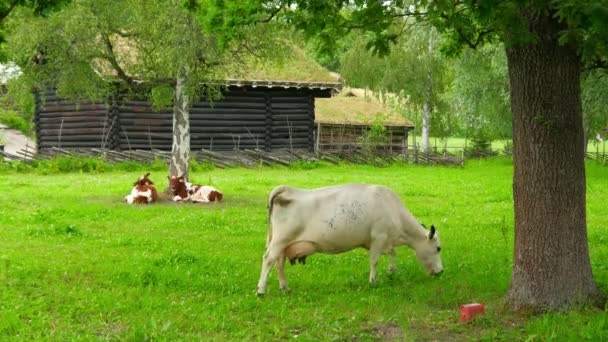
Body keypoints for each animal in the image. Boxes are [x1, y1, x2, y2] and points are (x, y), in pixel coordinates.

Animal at [254, 183, 444, 296]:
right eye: (438, 248)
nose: (441, 272)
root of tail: (287, 189)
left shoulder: (380, 241)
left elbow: (392, 253)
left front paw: (391, 271)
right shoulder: (378, 236)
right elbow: (375, 261)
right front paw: (373, 281)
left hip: (282, 244)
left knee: (279, 263)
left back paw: (285, 287)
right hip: (280, 240)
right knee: (268, 259)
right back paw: (261, 290)